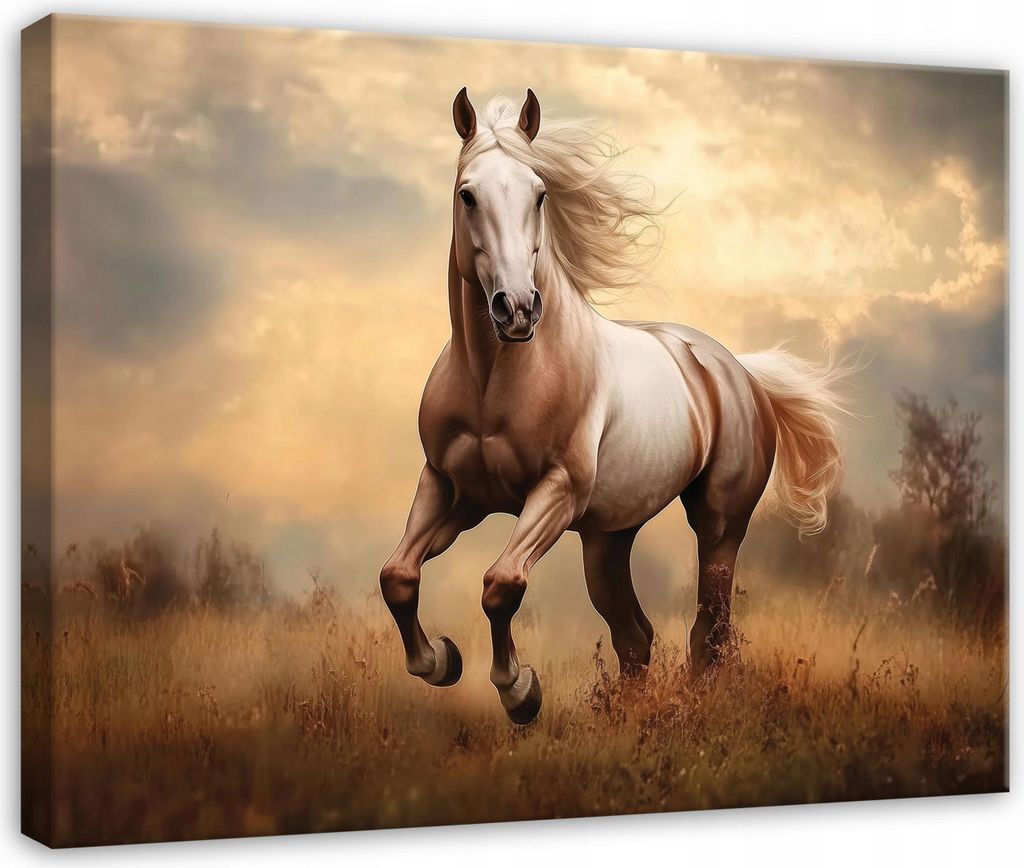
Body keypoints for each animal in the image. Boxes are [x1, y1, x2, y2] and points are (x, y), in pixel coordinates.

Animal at [380, 88, 849, 724]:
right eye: (467, 194)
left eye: (540, 193)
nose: (517, 309)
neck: (493, 379)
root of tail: (738, 372)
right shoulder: (453, 488)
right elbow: (398, 576)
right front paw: (442, 661)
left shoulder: (556, 491)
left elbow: (502, 584)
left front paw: (520, 691)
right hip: (607, 539)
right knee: (635, 636)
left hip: (719, 525)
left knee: (709, 630)